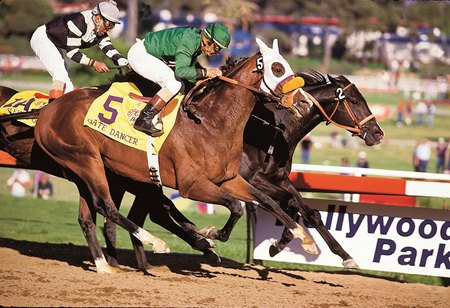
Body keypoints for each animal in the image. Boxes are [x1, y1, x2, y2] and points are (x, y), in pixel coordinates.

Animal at [33, 38, 318, 270]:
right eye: (277, 68)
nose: (305, 103)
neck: (211, 122)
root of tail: (48, 111)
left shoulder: (228, 179)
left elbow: (266, 201)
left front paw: (305, 238)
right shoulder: (192, 185)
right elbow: (236, 207)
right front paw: (210, 233)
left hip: (89, 170)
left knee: (90, 214)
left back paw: (104, 265)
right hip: (88, 161)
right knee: (108, 207)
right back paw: (156, 242)